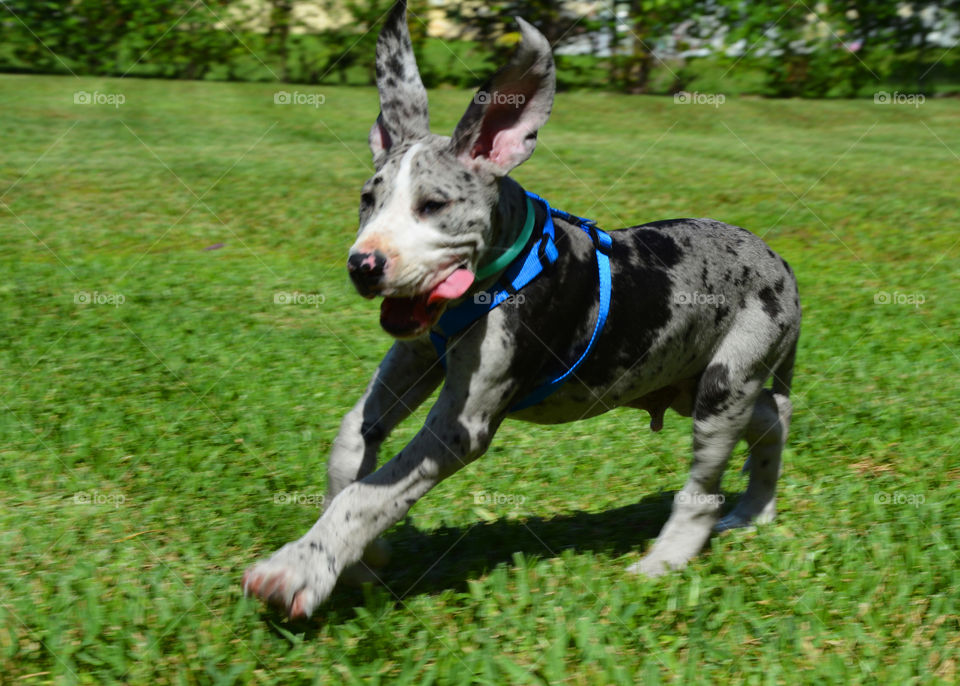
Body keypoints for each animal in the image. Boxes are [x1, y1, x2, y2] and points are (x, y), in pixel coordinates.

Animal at [244, 0, 800, 620]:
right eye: (368, 200)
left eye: (433, 205)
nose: (363, 265)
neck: (506, 266)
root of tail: (779, 260)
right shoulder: (415, 357)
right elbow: (353, 439)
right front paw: (363, 557)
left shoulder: (461, 426)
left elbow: (367, 496)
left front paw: (300, 568)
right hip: (694, 383)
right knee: (773, 419)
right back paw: (756, 510)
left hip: (723, 386)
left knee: (705, 486)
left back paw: (665, 560)